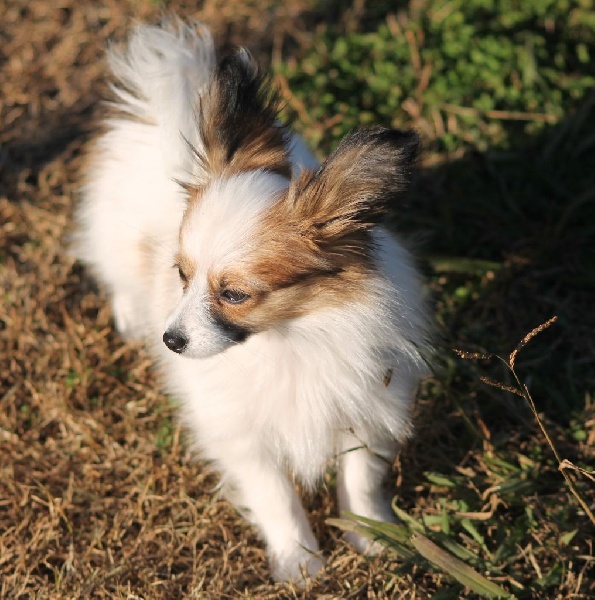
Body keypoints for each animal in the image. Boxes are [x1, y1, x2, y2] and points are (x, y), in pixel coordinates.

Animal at [75, 19, 434, 580]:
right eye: (181, 275)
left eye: (235, 294)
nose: (170, 340)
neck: (290, 337)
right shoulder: (244, 437)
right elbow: (277, 498)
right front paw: (300, 563)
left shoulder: (367, 407)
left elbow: (360, 481)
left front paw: (371, 537)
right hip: (112, 243)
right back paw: (131, 317)